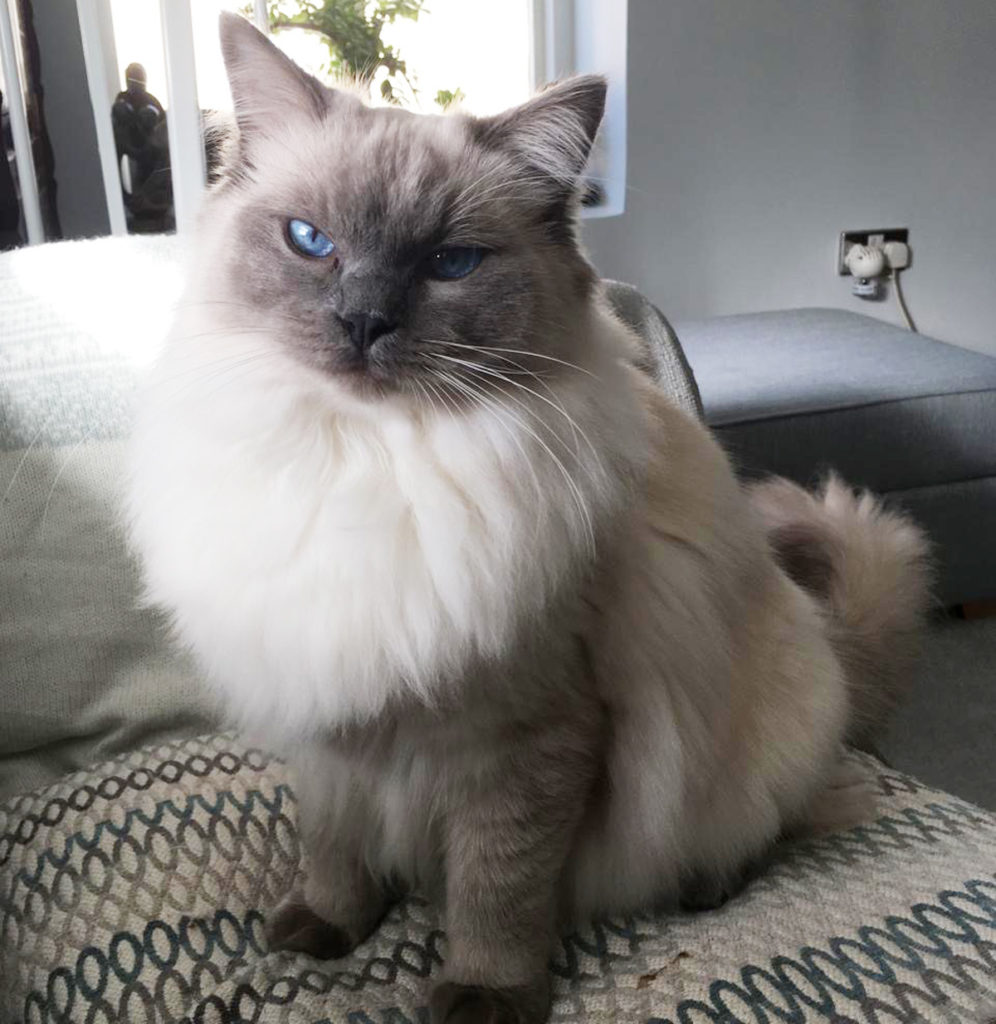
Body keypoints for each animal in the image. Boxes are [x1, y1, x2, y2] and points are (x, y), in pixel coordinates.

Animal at [126, 16, 933, 1024]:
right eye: (311, 241)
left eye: (450, 264)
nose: (363, 321)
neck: (365, 457)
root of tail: (826, 641)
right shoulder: (327, 708)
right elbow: (334, 847)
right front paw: (326, 929)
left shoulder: (526, 738)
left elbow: (496, 888)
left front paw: (483, 993)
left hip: (771, 722)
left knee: (771, 823)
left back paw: (706, 883)